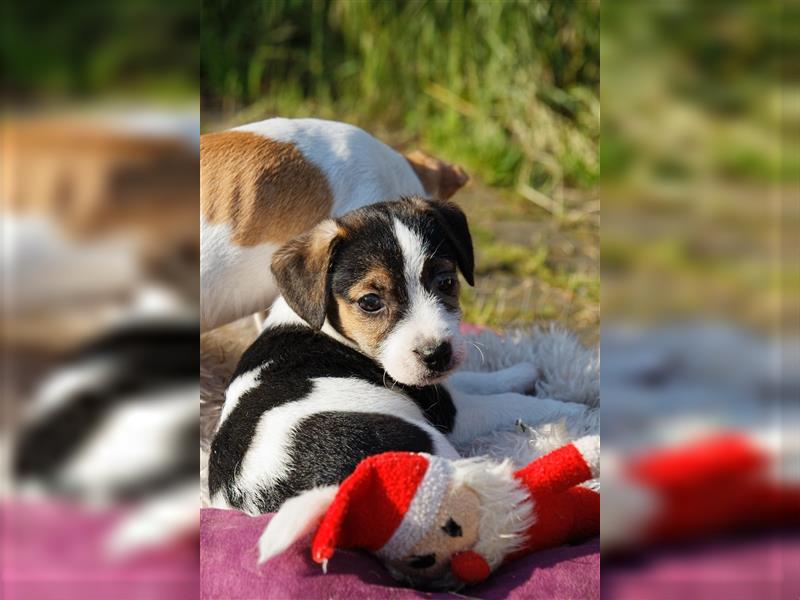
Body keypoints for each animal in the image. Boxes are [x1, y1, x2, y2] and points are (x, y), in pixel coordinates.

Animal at [208, 198, 588, 516]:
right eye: (370, 302)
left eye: (446, 282)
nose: (438, 355)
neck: (328, 326)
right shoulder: (448, 412)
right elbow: (510, 403)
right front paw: (573, 408)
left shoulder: (436, 385)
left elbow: (474, 379)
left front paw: (523, 370)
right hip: (428, 445)